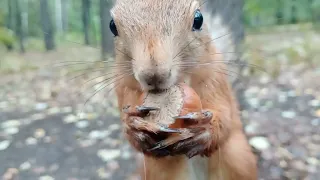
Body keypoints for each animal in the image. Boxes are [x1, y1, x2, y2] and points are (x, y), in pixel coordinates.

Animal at [110, 0, 258, 180]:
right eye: (112, 26)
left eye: (198, 19)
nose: (153, 75)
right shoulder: (123, 87)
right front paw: (134, 125)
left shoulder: (216, 79)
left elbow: (225, 117)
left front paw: (202, 129)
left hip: (238, 158)